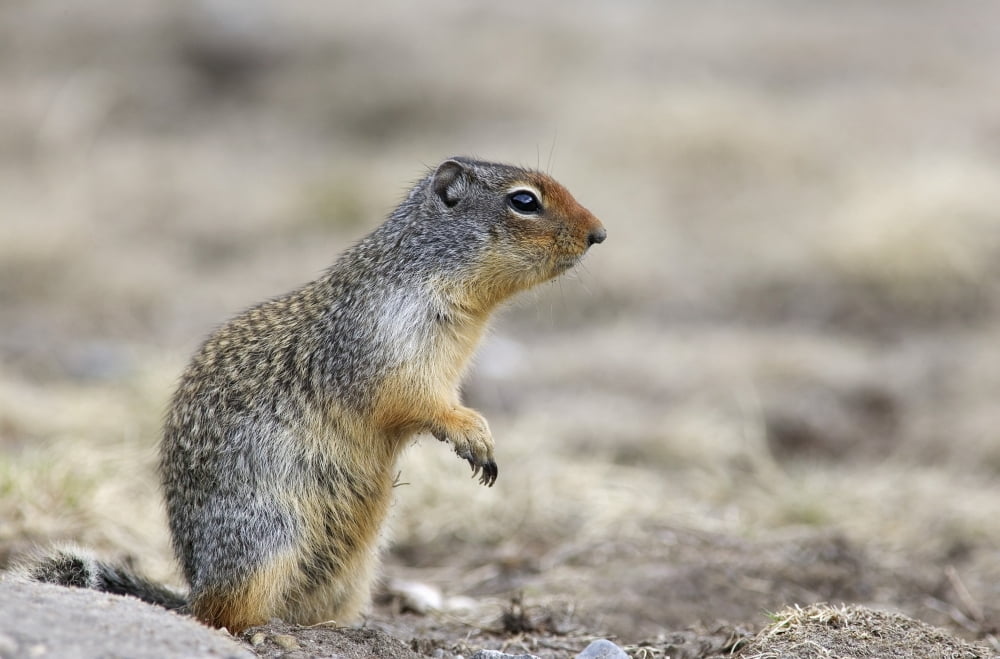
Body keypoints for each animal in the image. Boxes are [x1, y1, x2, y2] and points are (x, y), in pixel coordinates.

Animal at [21, 157, 606, 632]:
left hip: (354, 570)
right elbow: (415, 401)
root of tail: (192, 585)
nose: (599, 234)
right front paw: (472, 435)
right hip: (268, 538)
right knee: (220, 615)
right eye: (524, 200)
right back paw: (268, 630)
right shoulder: (384, 349)